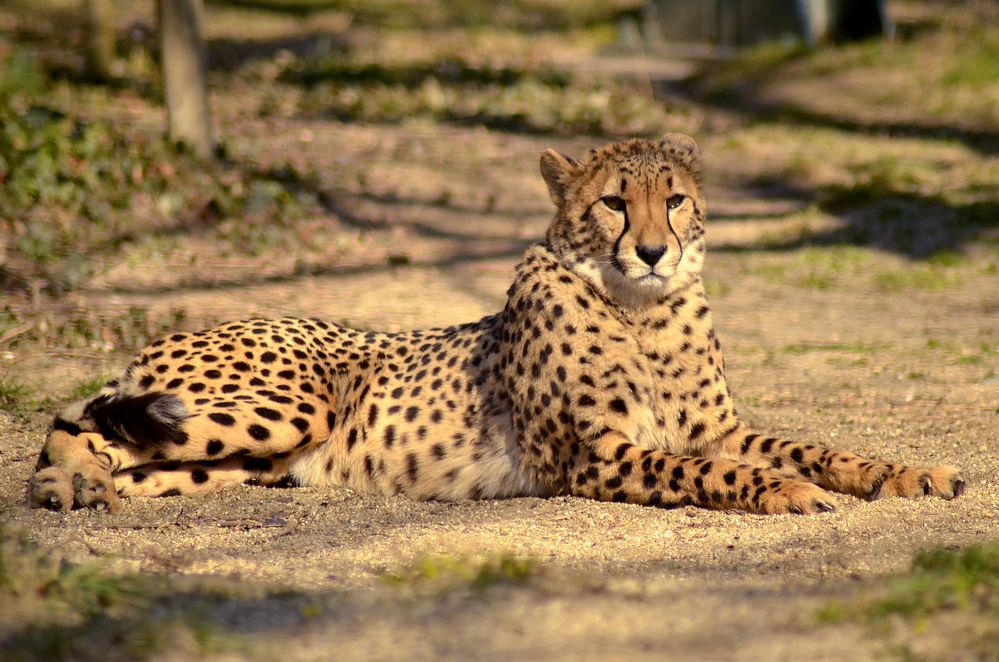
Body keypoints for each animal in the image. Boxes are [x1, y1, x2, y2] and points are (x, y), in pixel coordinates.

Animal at [29, 135, 968, 516]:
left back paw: (96, 489)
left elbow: (816, 446)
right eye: (612, 204)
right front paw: (782, 493)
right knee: (72, 424)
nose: (654, 251)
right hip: (291, 406)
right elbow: (716, 473)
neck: (643, 314)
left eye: (672, 200)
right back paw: (63, 488)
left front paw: (908, 473)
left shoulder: (716, 427)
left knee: (131, 453)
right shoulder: (594, 455)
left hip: (241, 459)